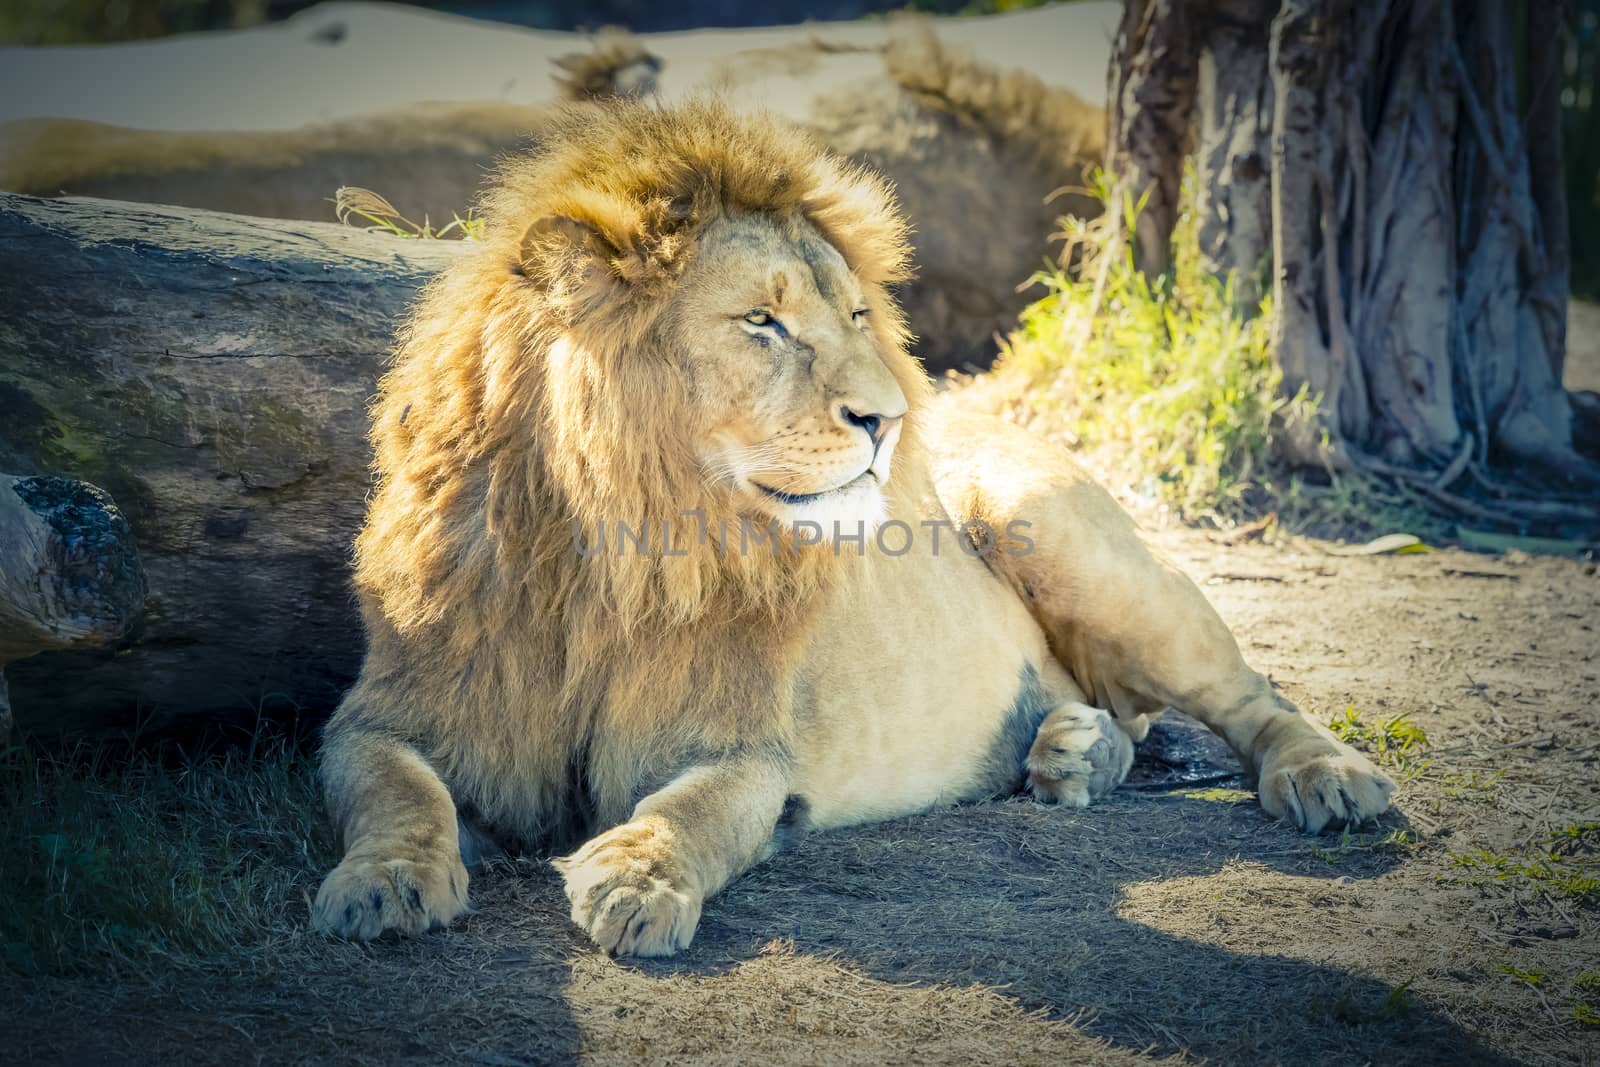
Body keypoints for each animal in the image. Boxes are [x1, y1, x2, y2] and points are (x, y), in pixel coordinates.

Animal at [308, 97, 1388, 953]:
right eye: (763, 321)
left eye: (859, 315)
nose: (892, 419)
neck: (613, 550)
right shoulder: (393, 708)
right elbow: (397, 787)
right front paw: (383, 882)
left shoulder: (748, 748)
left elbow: (693, 809)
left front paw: (637, 876)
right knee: (1118, 712)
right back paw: (1072, 751)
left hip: (1066, 540)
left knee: (1249, 692)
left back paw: (1329, 779)